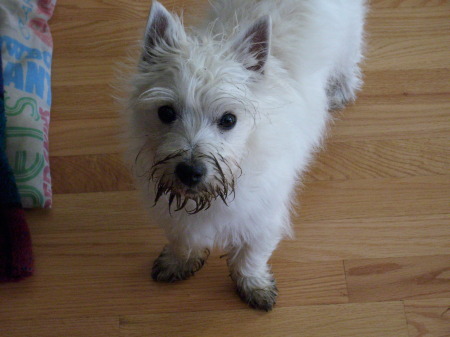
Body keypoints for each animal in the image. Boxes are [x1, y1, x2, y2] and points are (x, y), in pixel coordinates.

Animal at [125, 0, 368, 310]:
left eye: (229, 120)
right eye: (166, 112)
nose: (190, 172)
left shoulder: (263, 216)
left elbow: (250, 257)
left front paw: (254, 286)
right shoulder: (177, 212)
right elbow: (184, 237)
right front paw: (180, 261)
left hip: (348, 36)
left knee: (350, 59)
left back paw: (340, 91)